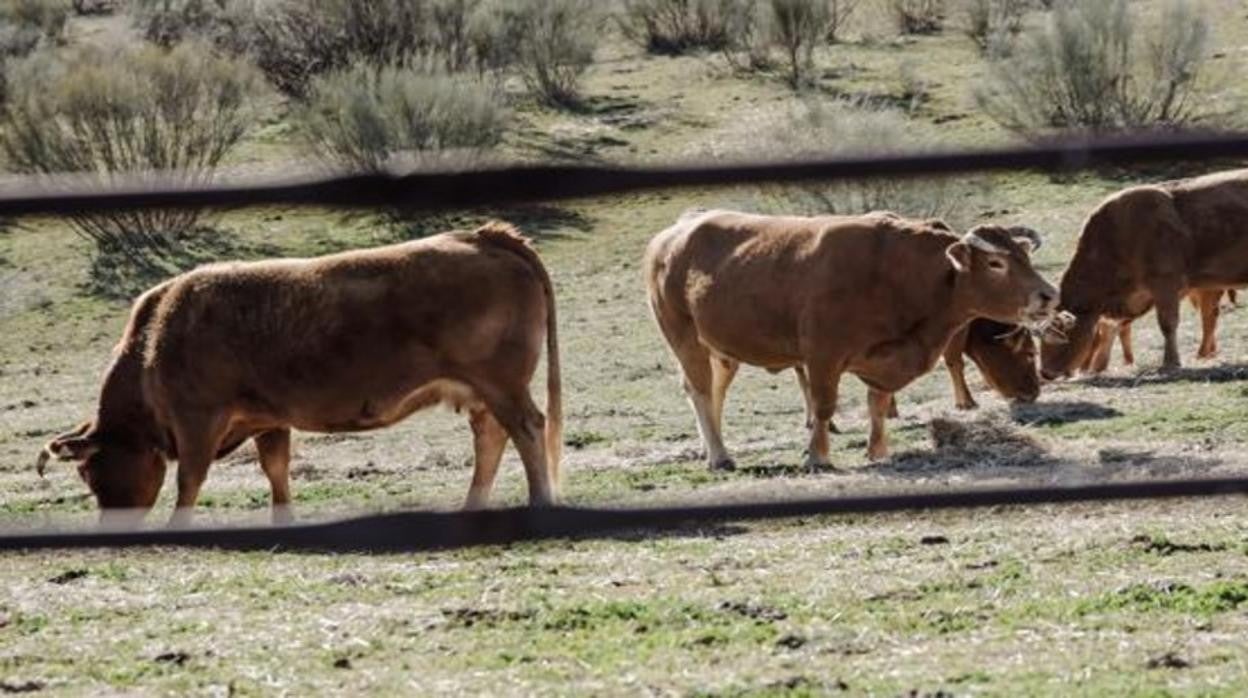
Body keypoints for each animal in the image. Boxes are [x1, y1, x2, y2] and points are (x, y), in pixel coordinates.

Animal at [35, 222, 561, 524]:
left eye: (90, 472)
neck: (156, 340)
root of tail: (485, 236)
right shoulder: (267, 421)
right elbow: (276, 471)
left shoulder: (197, 421)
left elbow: (189, 480)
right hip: (481, 393)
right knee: (492, 438)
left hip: (502, 385)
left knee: (527, 429)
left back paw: (541, 501)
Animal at [643, 208, 1053, 469]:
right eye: (996, 263)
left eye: (1025, 259)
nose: (1047, 295)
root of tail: (673, 234)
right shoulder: (823, 355)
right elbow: (824, 406)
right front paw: (818, 456)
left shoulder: (884, 361)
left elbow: (878, 404)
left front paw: (878, 450)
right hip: (684, 337)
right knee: (698, 390)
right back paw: (720, 456)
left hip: (722, 349)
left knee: (714, 392)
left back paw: (711, 448)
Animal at [1038, 168, 1248, 377]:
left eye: (1057, 333)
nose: (1045, 372)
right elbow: (1113, 327)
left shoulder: (1165, 283)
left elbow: (1168, 323)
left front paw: (1170, 363)